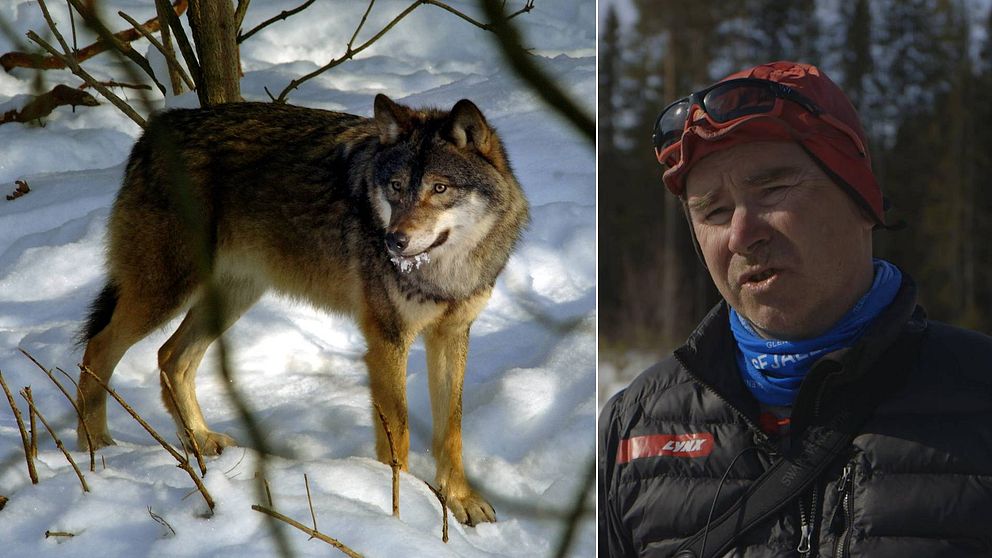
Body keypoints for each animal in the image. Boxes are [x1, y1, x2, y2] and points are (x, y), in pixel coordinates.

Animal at [74, 94, 532, 528]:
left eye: (439, 188)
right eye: (396, 186)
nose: (393, 240)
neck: (445, 273)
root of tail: (154, 129)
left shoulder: (452, 335)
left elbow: (451, 430)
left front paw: (460, 501)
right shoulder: (387, 339)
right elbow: (398, 435)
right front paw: (401, 507)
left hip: (231, 297)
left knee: (170, 356)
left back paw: (199, 441)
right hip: (165, 293)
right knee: (99, 349)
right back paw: (95, 450)